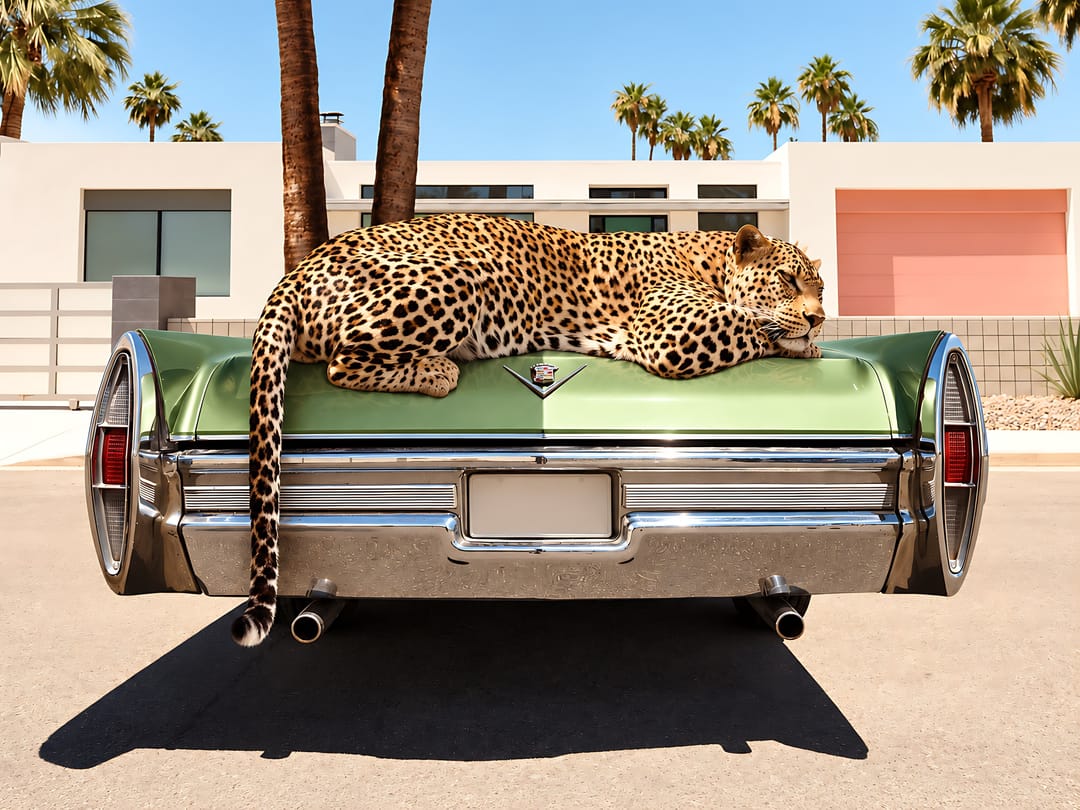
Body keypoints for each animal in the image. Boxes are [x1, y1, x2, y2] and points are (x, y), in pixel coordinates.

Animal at [232, 212, 826, 646]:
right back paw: (438, 369)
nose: (820, 317)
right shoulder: (676, 331)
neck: (708, 259)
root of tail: (298, 269)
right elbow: (753, 324)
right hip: (459, 278)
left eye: (820, 287)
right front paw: (803, 341)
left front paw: (810, 338)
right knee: (341, 362)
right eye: (788, 279)